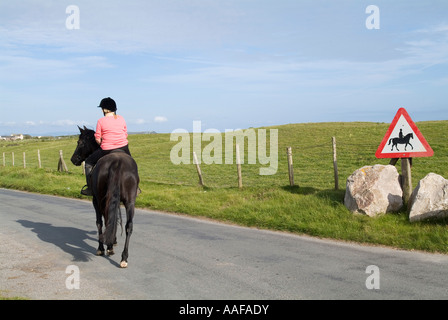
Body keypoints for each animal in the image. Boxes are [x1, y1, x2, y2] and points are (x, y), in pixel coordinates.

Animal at [71, 125, 140, 268]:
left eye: (79, 142)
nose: (73, 159)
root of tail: (117, 162)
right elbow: (116, 219)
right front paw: (113, 241)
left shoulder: (96, 200)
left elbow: (101, 221)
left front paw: (105, 247)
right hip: (130, 201)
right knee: (129, 226)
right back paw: (124, 258)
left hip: (100, 199)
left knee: (104, 220)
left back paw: (106, 248)